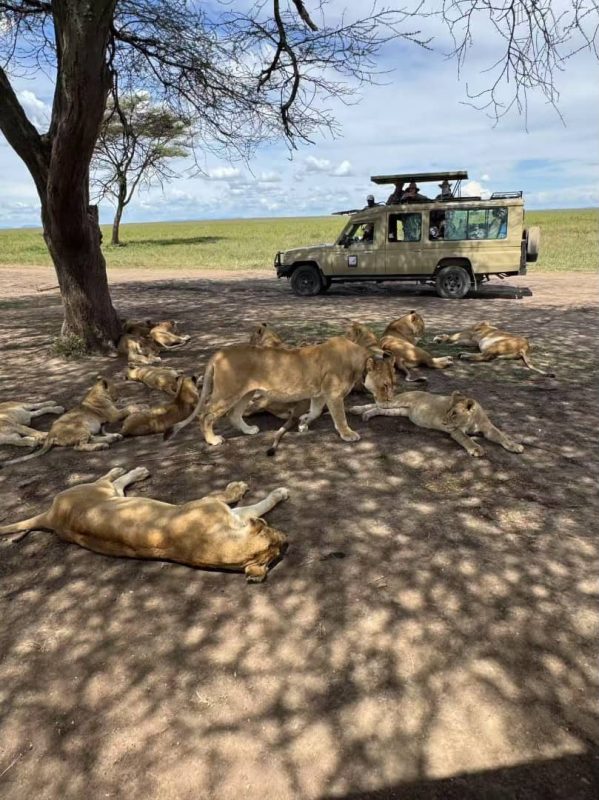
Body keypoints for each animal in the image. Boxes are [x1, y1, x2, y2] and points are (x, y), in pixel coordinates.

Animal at [0, 468, 289, 582]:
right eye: (270, 529)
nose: (287, 541)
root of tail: (52, 516)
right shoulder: (212, 503)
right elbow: (252, 504)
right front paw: (273, 492)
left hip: (114, 496)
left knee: (115, 482)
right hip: (99, 490)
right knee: (108, 478)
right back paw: (132, 470)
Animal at [165, 337, 395, 446]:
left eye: (394, 384)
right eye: (385, 385)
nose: (389, 402)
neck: (359, 361)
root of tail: (220, 352)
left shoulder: (320, 394)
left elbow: (315, 412)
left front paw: (302, 423)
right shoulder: (334, 394)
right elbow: (340, 417)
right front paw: (348, 434)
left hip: (245, 393)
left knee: (234, 414)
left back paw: (249, 430)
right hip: (227, 393)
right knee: (205, 414)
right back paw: (213, 440)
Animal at [349, 390, 524, 458]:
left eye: (454, 413)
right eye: (447, 411)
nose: (443, 422)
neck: (472, 421)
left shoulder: (488, 428)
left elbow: (501, 435)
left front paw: (514, 446)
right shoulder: (455, 431)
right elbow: (466, 438)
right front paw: (476, 449)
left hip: (398, 410)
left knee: (378, 408)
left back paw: (365, 415)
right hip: (397, 402)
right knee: (376, 403)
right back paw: (356, 409)